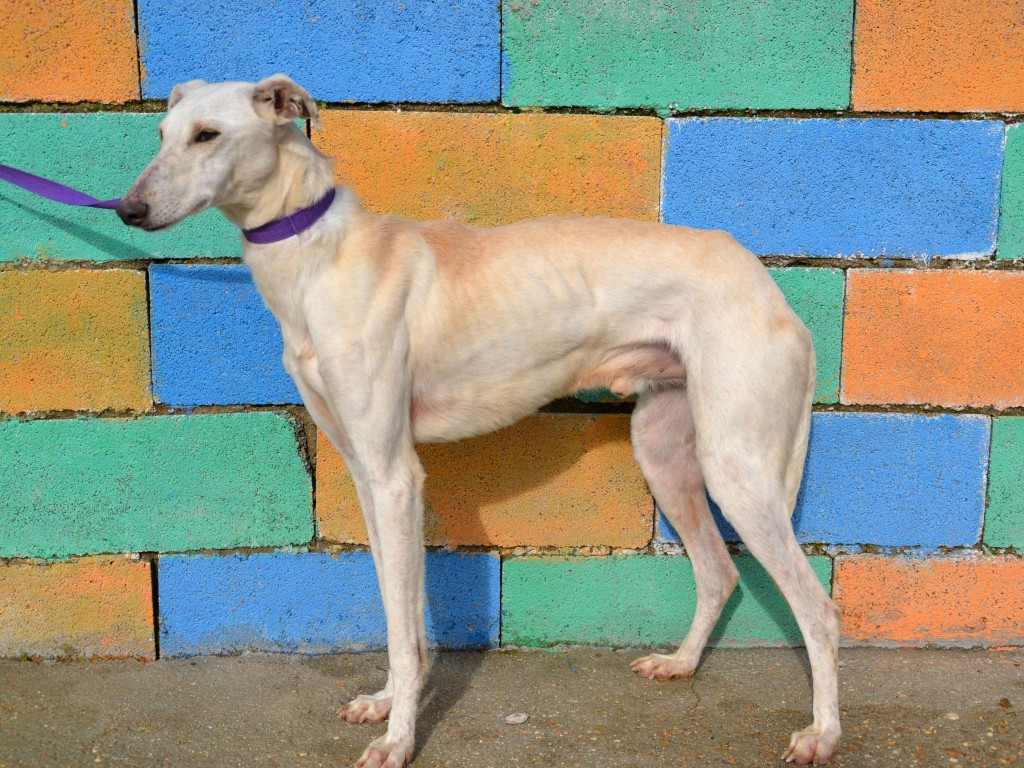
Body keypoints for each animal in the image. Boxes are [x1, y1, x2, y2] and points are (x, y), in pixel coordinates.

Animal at [117, 73, 839, 768]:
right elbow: (401, 615)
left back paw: (822, 734)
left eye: (208, 135)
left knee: (818, 607)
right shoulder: (369, 476)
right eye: (160, 134)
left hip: (735, 466)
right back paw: (681, 663)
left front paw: (398, 742)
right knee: (718, 573)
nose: (128, 209)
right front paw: (387, 704)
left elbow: (404, 634)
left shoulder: (395, 476)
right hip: (665, 452)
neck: (321, 256)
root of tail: (768, 287)